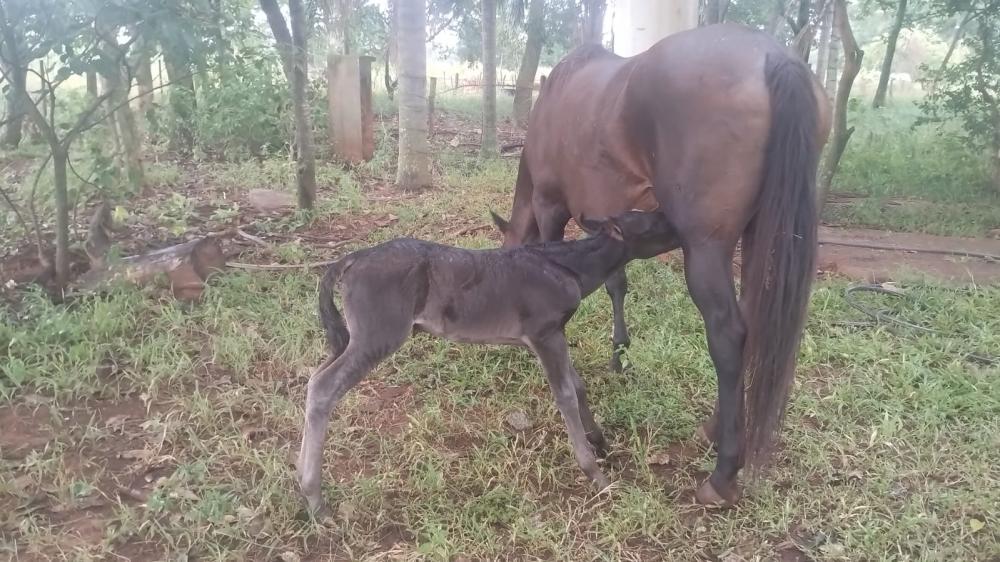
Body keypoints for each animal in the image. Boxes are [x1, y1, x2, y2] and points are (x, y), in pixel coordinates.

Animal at [491, 23, 832, 506]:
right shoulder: (611, 218)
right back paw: (716, 431)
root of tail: (774, 59)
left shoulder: (550, 208)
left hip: (705, 249)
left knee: (728, 335)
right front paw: (619, 353)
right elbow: (616, 282)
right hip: (759, 236)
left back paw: (722, 474)